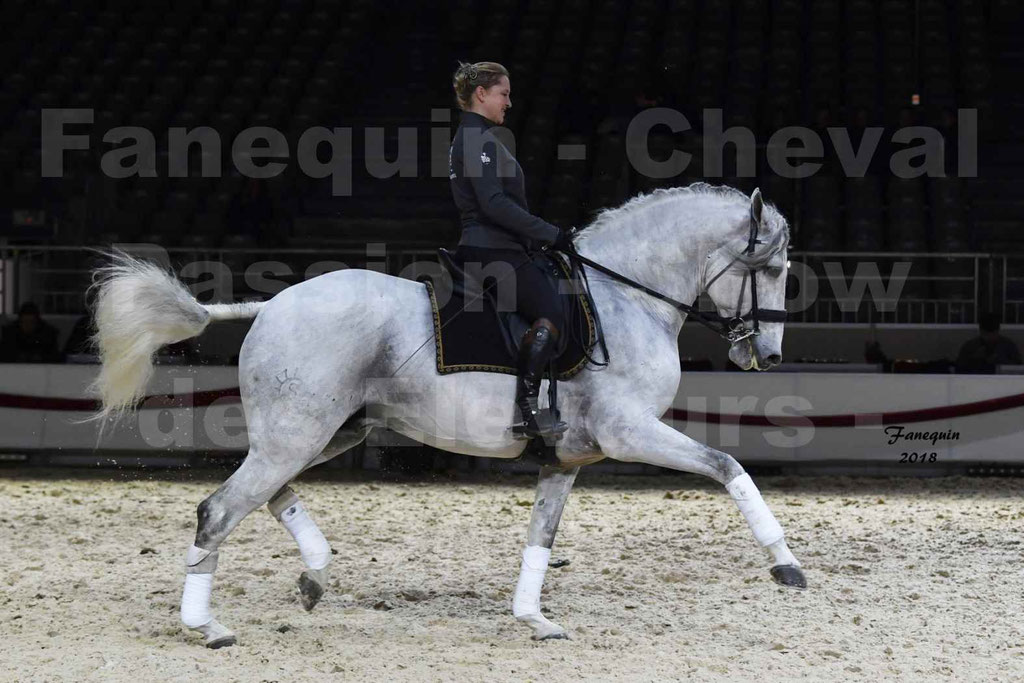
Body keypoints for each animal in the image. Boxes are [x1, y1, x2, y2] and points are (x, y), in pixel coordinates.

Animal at [88, 182, 804, 648]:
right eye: (768, 266)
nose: (767, 354)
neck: (625, 298)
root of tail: (268, 305)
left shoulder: (569, 455)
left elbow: (541, 537)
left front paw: (533, 618)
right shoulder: (629, 433)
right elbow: (728, 465)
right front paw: (785, 564)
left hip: (326, 433)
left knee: (267, 495)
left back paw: (314, 576)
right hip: (298, 435)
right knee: (220, 510)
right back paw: (206, 626)